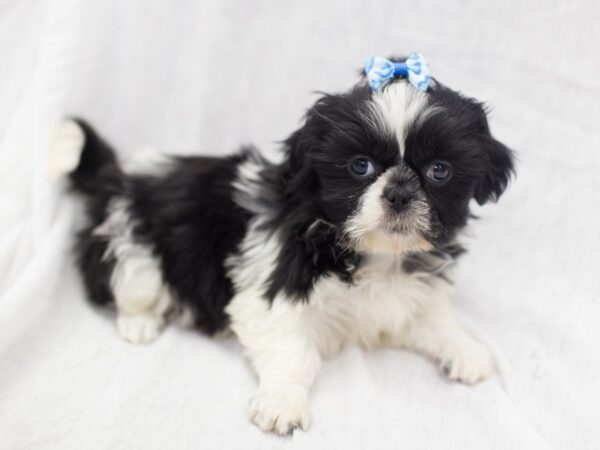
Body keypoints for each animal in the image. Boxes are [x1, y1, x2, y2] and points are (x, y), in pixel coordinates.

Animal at [48, 53, 516, 436]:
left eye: (439, 171)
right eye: (360, 166)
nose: (399, 193)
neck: (375, 254)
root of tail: (118, 176)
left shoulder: (404, 293)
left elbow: (432, 318)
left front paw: (465, 349)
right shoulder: (272, 288)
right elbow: (292, 348)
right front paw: (282, 402)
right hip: (133, 247)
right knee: (126, 283)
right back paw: (139, 322)